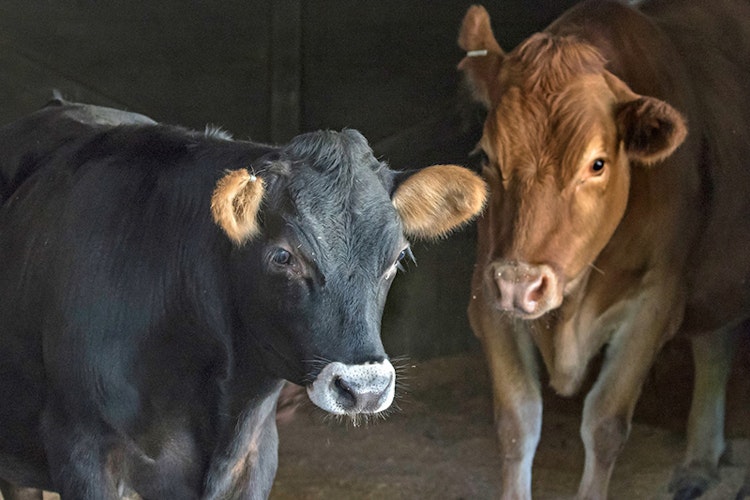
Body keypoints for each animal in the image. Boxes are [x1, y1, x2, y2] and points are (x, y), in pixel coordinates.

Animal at [458, 0, 750, 500]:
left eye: (597, 163)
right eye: (487, 157)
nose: (519, 284)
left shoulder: (656, 302)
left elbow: (605, 423)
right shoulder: (488, 295)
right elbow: (517, 422)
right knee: (715, 340)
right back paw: (698, 461)